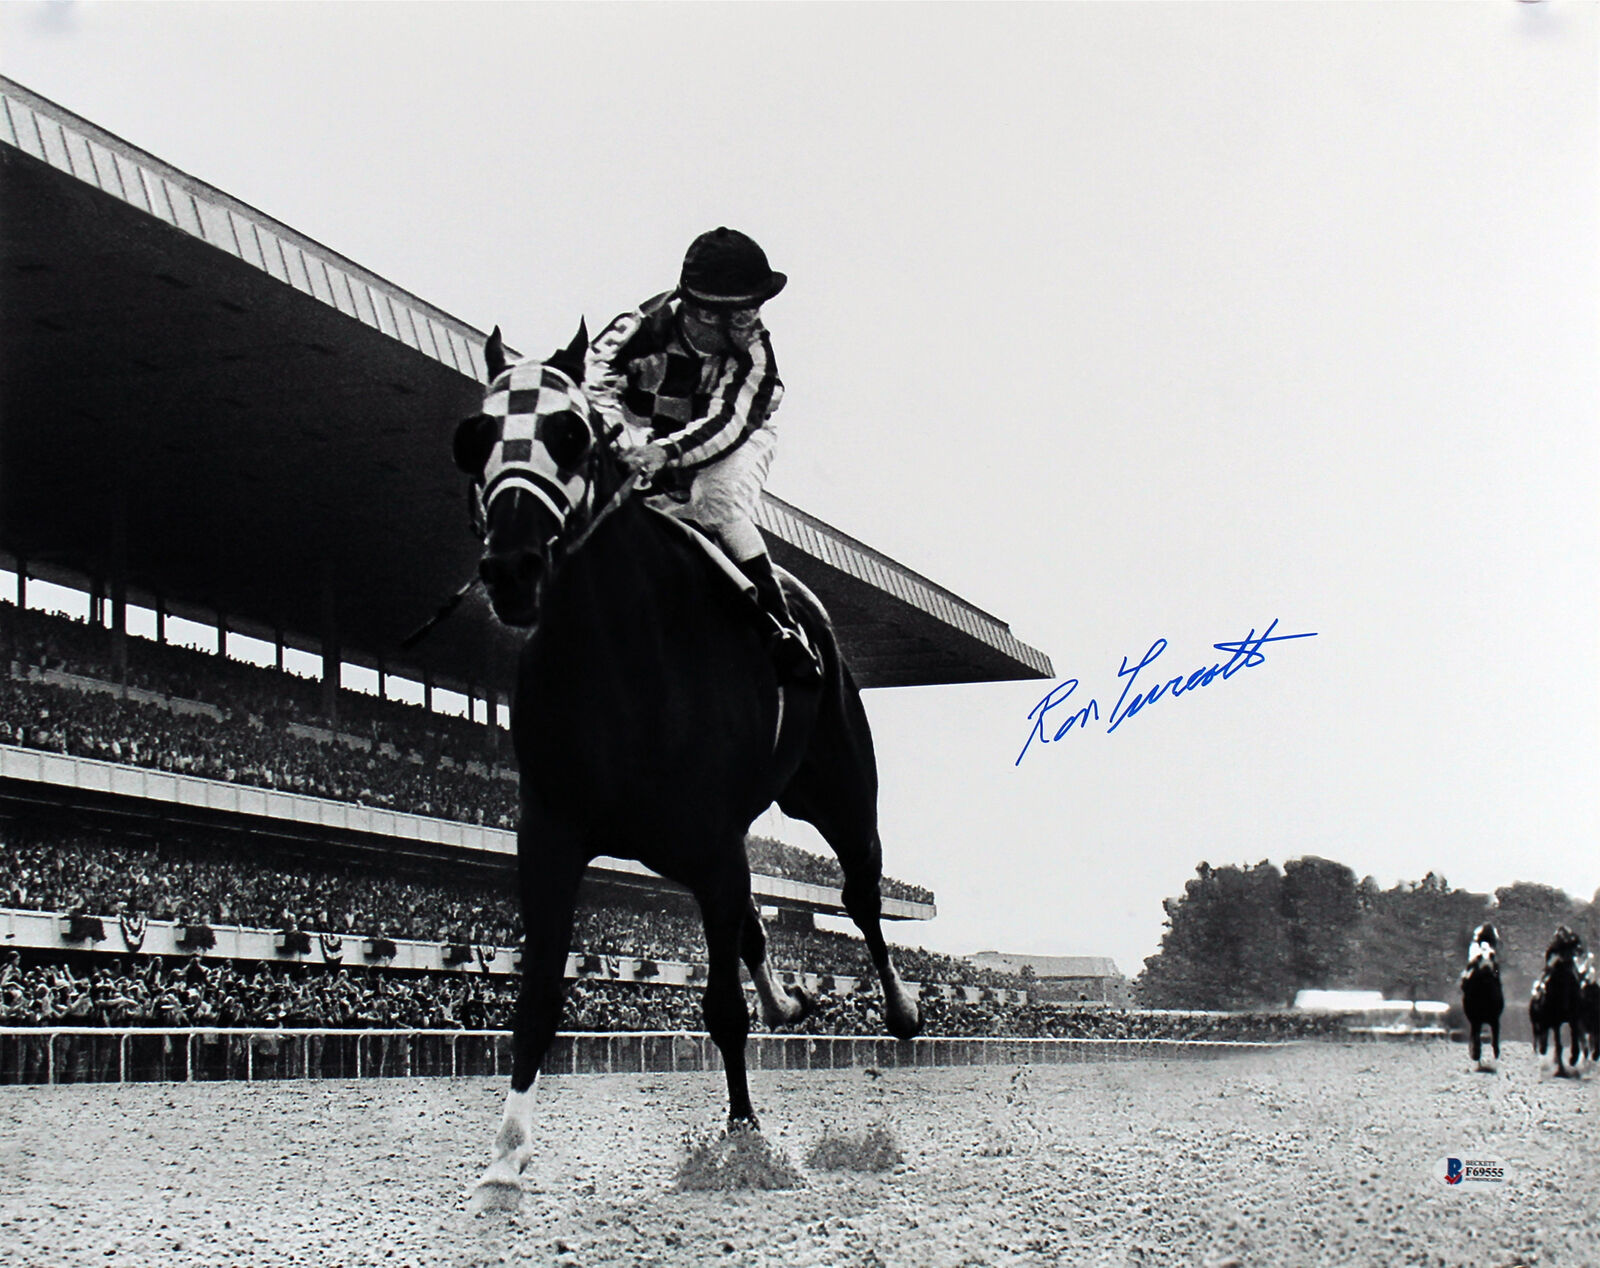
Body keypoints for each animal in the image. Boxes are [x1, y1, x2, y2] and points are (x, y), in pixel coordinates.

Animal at [451, 325, 928, 1210]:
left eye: (570, 432)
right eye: (477, 434)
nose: (513, 567)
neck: (621, 649)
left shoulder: (711, 839)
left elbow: (722, 1009)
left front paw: (744, 1138)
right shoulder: (555, 832)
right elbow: (537, 997)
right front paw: (504, 1159)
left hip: (839, 792)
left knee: (860, 895)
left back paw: (903, 1009)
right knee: (756, 922)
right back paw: (790, 1001)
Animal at [1523, 928, 1587, 1075]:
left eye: (1574, 940)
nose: (1580, 949)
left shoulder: (1573, 1018)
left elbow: (1575, 1041)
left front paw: (1573, 1059)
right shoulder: (1554, 1022)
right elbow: (1558, 1045)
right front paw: (1561, 1068)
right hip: (1544, 1023)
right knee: (1543, 1040)